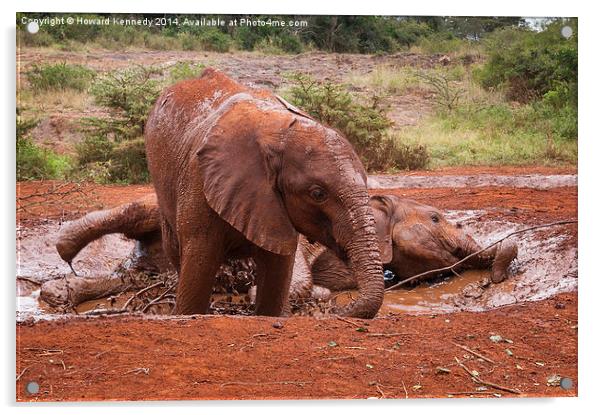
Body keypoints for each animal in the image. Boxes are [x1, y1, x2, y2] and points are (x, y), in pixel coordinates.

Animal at [143, 69, 382, 318]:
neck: (278, 132)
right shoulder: (199, 181)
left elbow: (276, 279)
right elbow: (196, 276)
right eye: (318, 194)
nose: (337, 309)